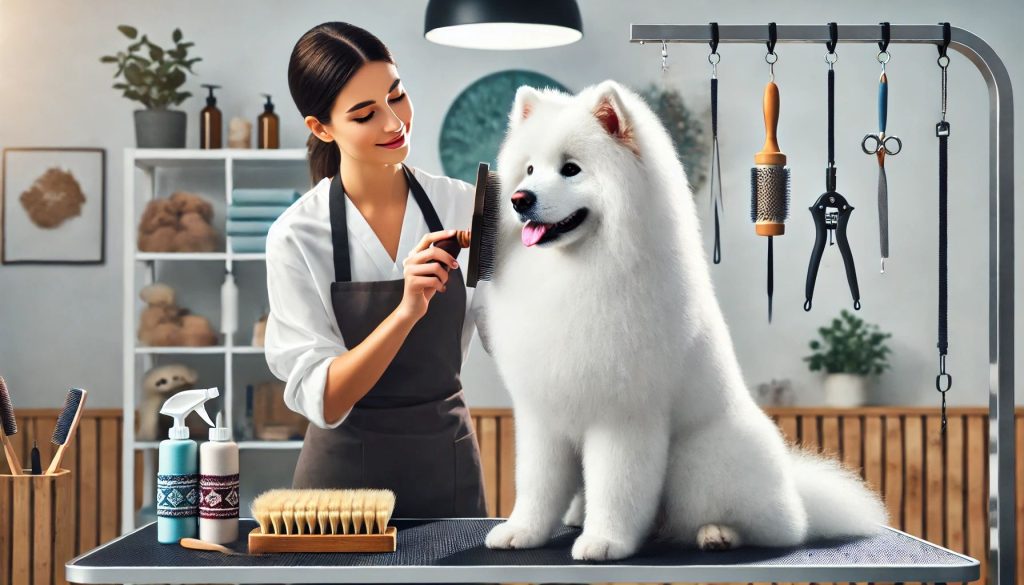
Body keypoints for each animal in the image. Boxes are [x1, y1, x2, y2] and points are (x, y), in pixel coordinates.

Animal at [475, 79, 884, 561]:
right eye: (529, 170)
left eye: (571, 169)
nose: (520, 199)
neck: (574, 272)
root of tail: (796, 492)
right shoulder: (542, 414)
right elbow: (537, 485)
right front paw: (522, 532)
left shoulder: (624, 416)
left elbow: (616, 487)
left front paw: (605, 541)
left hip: (699, 461)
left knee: (769, 527)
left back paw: (718, 533)